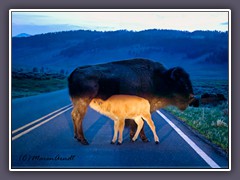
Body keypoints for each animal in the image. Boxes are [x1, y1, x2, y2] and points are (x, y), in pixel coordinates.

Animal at [67, 58, 195, 146]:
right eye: (182, 82)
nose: (192, 96)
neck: (158, 78)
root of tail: (75, 71)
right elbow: (140, 124)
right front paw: (144, 139)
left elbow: (136, 122)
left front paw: (133, 137)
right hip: (83, 102)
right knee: (78, 116)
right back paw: (83, 140)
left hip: (76, 102)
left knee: (73, 115)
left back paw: (76, 137)